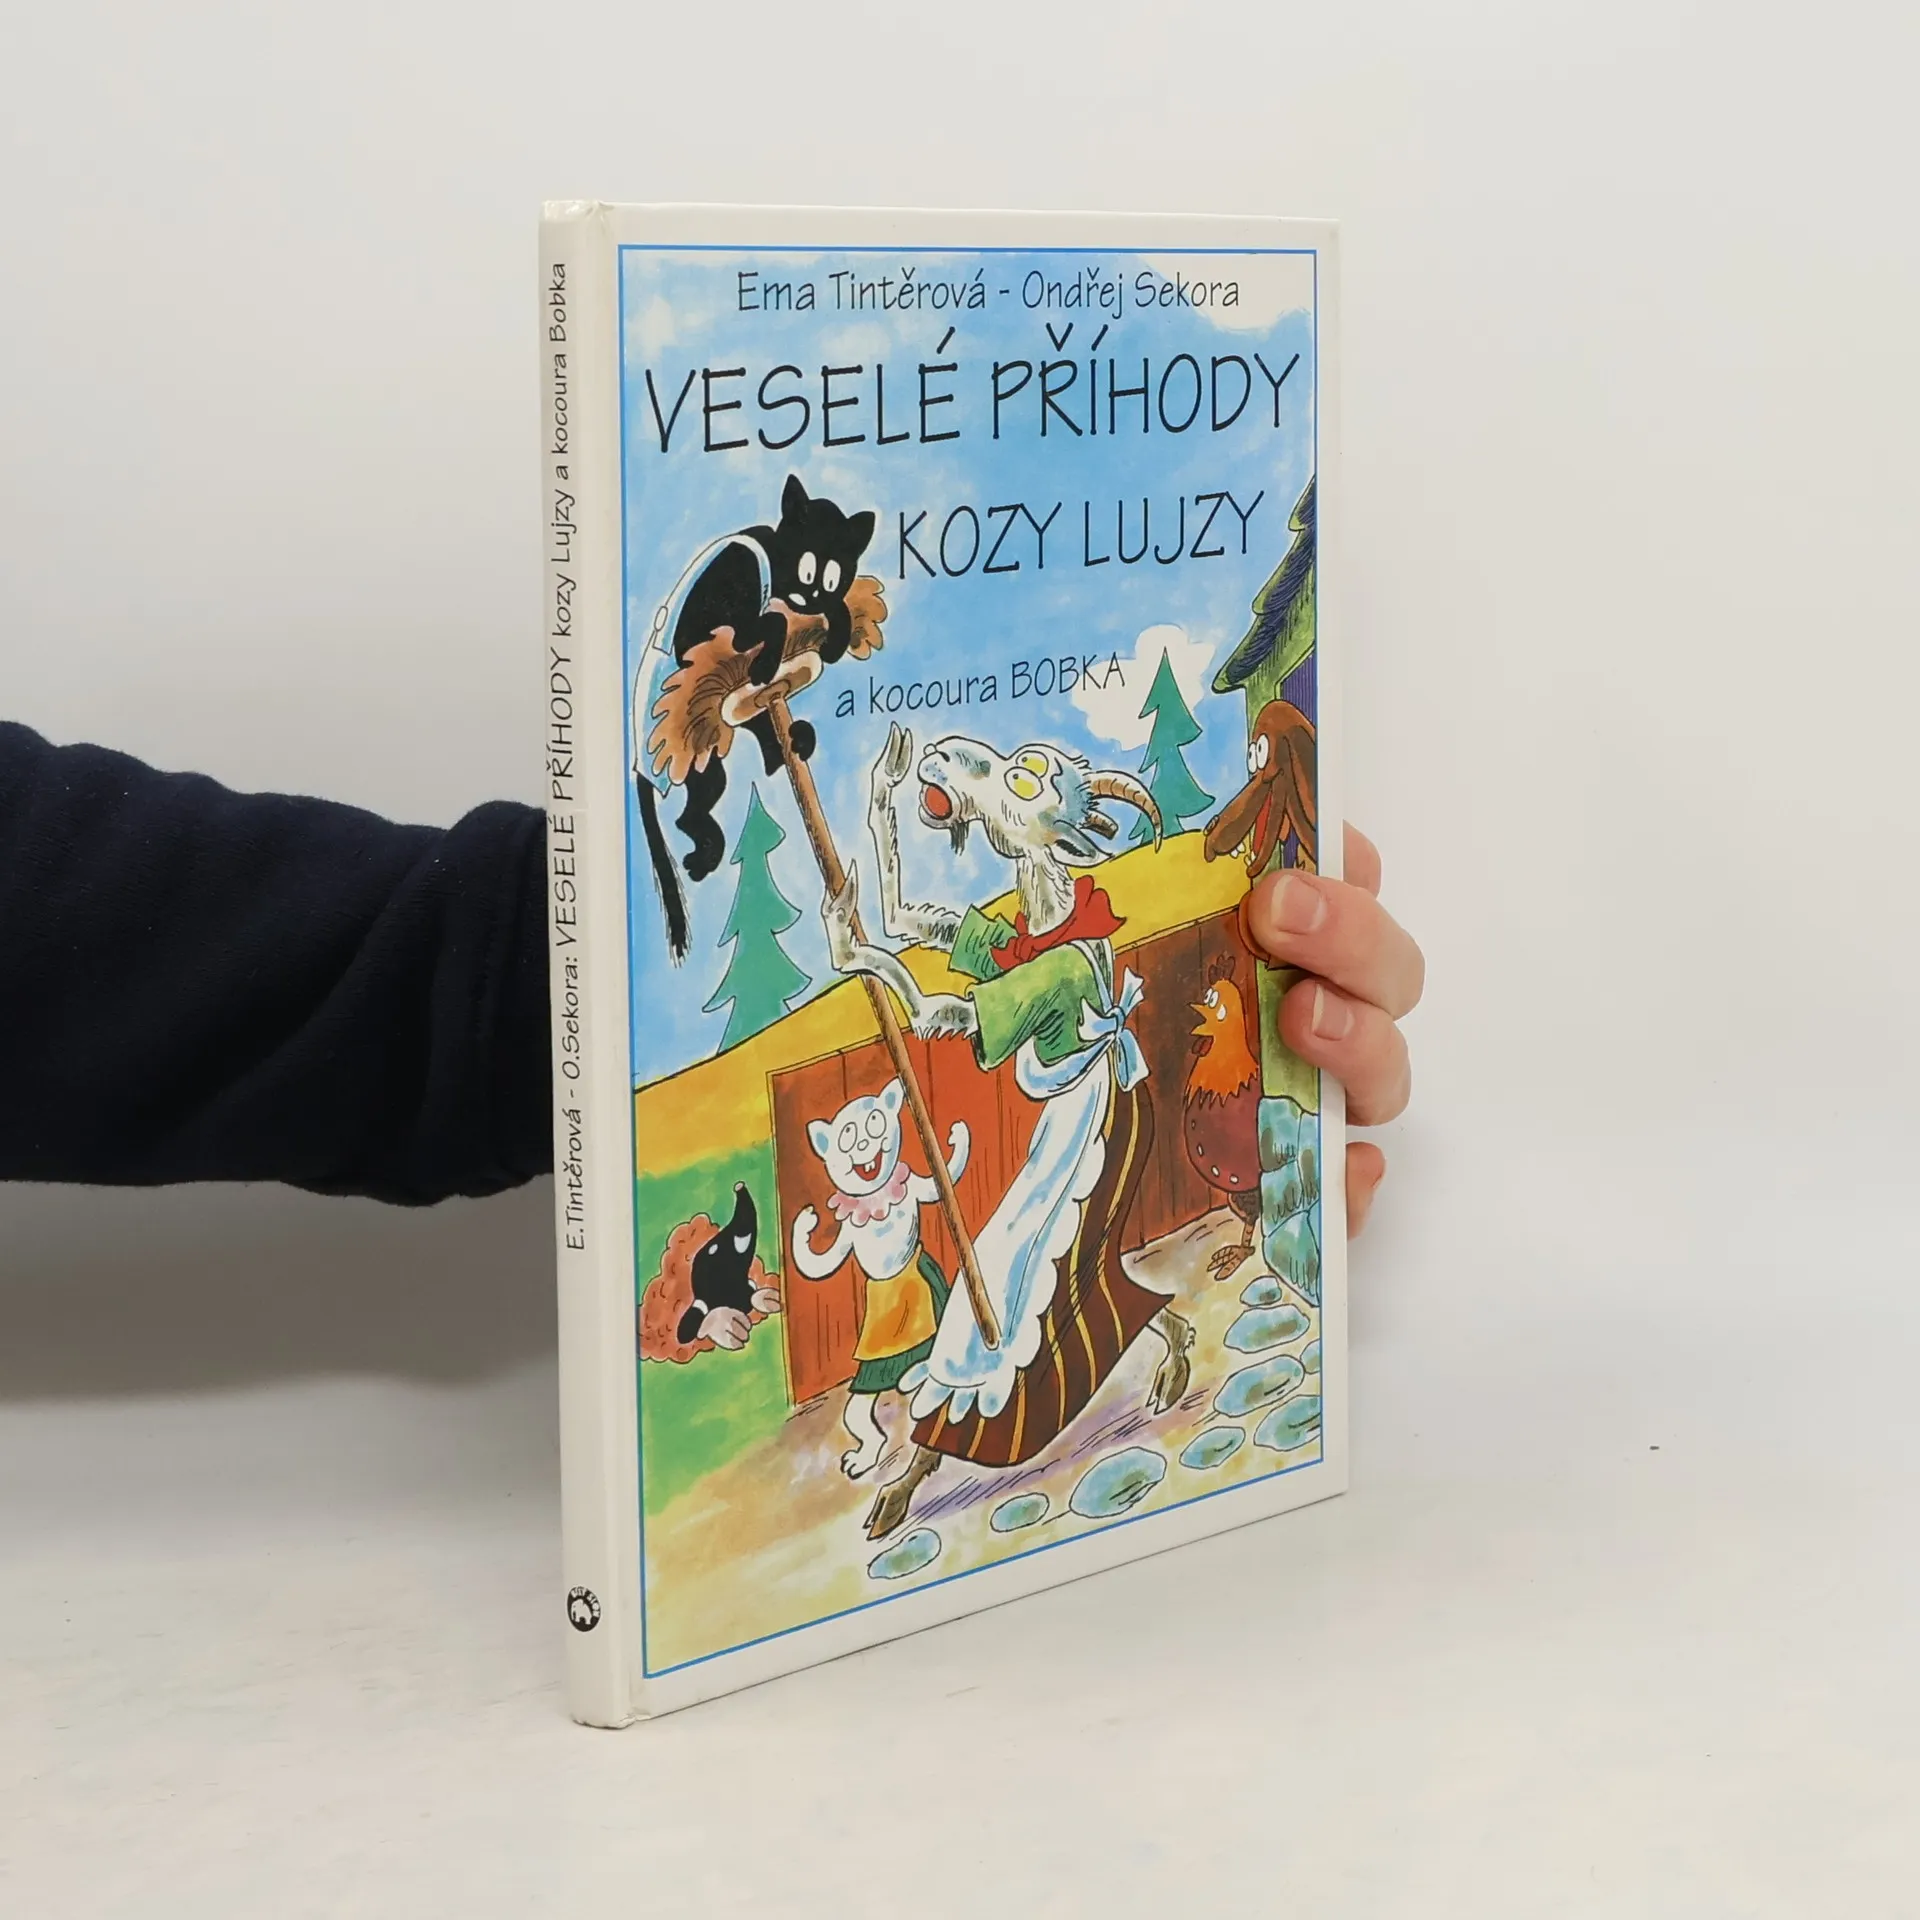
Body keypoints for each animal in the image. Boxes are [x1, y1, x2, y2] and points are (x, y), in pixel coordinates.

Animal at [632, 475, 878, 961]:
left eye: (833, 578)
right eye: (807, 571)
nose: (811, 595)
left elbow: (823, 616)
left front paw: (835, 637)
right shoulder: (715, 612)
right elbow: (765, 625)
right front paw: (769, 653)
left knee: (768, 749)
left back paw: (799, 740)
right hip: (702, 757)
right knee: (694, 808)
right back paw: (703, 854)